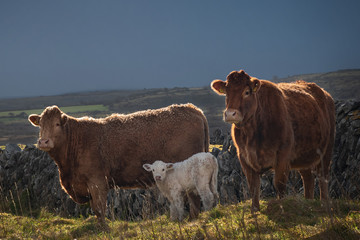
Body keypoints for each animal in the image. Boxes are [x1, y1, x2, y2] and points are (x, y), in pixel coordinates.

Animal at [29, 103, 210, 221]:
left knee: (194, 197)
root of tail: (193, 109)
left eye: (57, 124)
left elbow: (99, 210)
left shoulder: (97, 183)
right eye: (40, 125)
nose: (43, 141)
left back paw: (193, 219)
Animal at [211, 70, 334, 212]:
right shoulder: (244, 157)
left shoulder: (283, 155)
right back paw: (308, 203)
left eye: (246, 92)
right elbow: (253, 186)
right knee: (308, 179)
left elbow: (279, 184)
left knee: (323, 177)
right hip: (304, 157)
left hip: (326, 150)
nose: (230, 114)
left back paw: (324, 203)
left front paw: (281, 206)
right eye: (226, 92)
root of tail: (324, 93)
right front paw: (255, 210)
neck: (253, 134)